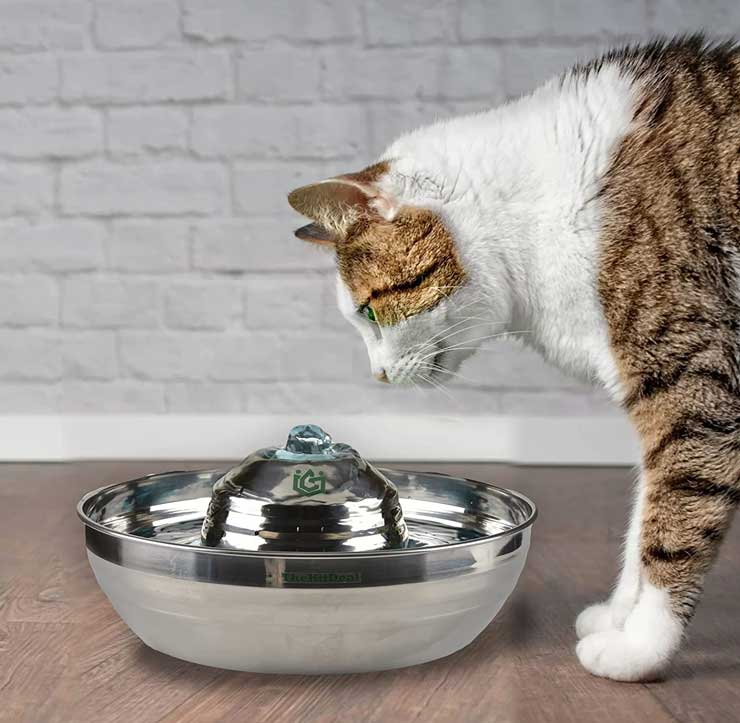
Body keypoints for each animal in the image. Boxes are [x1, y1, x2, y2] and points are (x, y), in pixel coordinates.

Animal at [284, 38, 740, 684]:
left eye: (370, 311)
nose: (377, 376)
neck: (536, 211)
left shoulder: (693, 379)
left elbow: (675, 510)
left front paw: (642, 645)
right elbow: (643, 514)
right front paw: (618, 615)